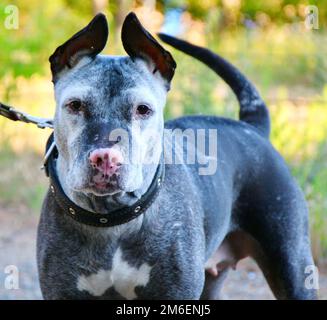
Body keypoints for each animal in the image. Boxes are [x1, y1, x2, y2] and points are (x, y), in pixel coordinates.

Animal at [37, 11, 320, 298]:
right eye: (75, 105)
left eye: (143, 109)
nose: (106, 158)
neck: (112, 218)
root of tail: (253, 128)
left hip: (293, 265)